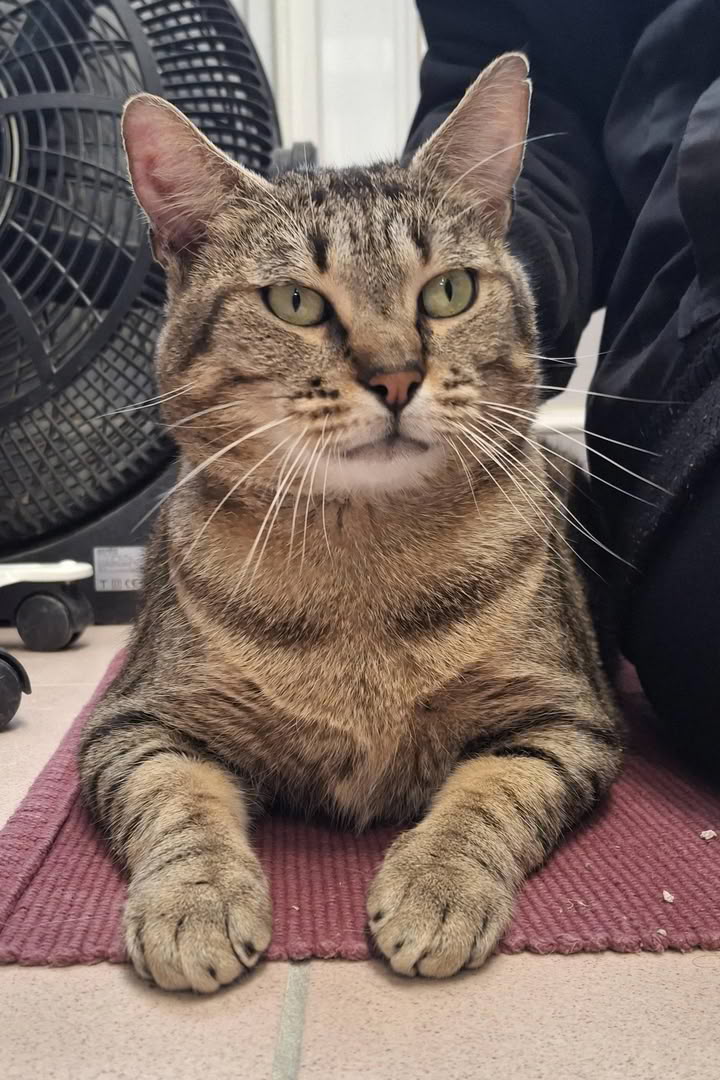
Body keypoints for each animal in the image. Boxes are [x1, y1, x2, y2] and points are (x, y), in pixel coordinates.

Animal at [78, 53, 622, 993]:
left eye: (449, 291)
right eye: (295, 302)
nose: (397, 375)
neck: (363, 565)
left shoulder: (565, 719)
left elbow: (493, 792)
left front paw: (438, 883)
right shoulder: (137, 724)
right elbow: (176, 799)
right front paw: (196, 900)